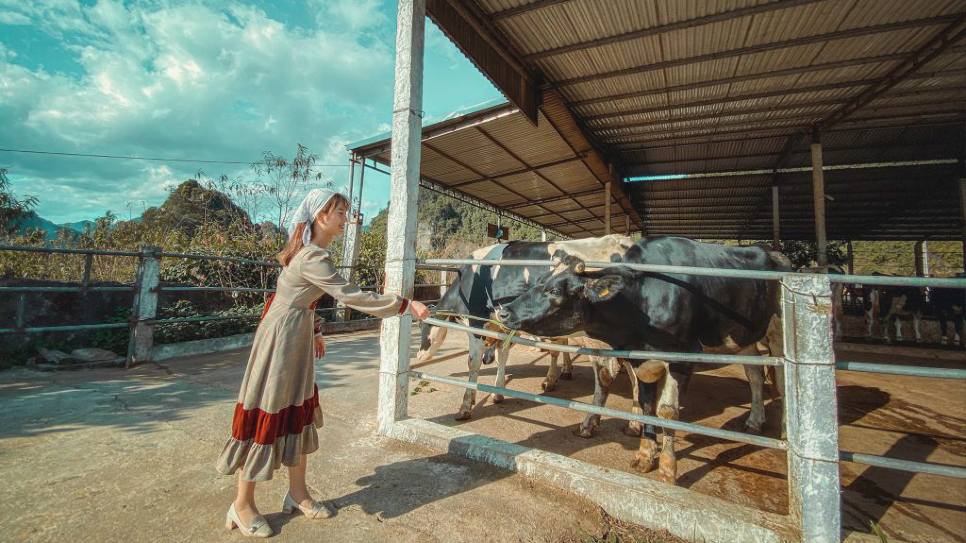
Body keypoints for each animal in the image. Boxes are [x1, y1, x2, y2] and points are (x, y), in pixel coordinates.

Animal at [416, 237, 636, 420]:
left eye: (423, 326)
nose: (418, 356)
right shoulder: (502, 327)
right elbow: (502, 356)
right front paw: (498, 393)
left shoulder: (477, 325)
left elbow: (473, 363)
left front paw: (465, 406)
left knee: (608, 372)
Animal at [496, 238, 792, 484]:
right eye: (538, 282)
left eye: (555, 290)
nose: (504, 311)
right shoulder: (641, 358)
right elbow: (648, 405)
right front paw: (645, 456)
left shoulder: (683, 356)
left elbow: (667, 412)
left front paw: (667, 469)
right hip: (744, 337)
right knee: (754, 374)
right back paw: (755, 420)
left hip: (778, 331)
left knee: (782, 381)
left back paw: (785, 432)